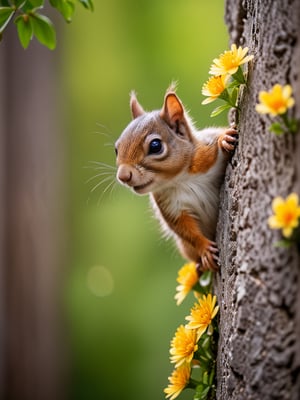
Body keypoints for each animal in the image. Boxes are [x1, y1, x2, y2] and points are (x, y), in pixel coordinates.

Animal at [115, 88, 237, 272]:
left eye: (155, 146)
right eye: (116, 149)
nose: (123, 176)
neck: (180, 179)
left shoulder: (206, 154)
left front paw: (223, 138)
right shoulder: (171, 207)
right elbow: (186, 231)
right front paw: (204, 250)